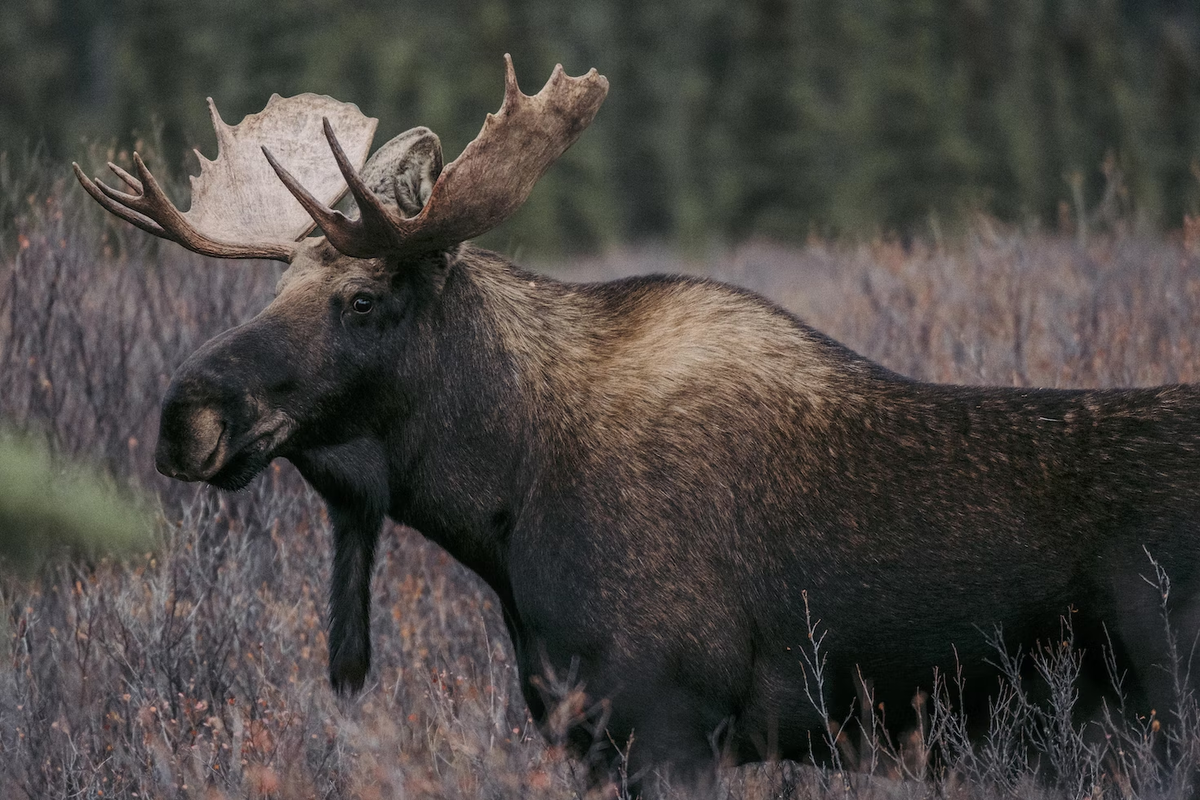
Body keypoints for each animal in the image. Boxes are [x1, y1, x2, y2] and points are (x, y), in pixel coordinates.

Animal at [77, 57, 1200, 796]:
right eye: (276, 287)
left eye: (362, 299)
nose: (184, 416)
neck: (504, 498)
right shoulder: (587, 733)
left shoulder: (670, 723)